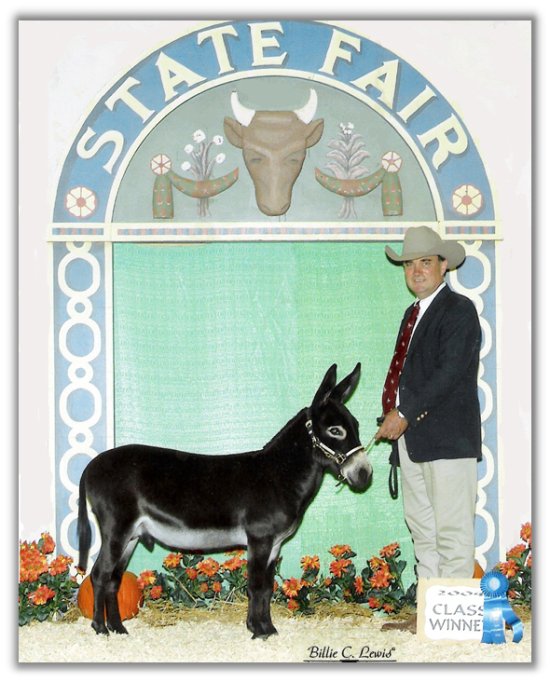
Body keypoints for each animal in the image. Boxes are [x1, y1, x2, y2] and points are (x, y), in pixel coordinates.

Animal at [77, 363, 372, 639]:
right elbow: (256, 586)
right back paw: (100, 629)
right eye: (335, 430)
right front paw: (259, 631)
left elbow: (266, 587)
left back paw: (118, 629)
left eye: (356, 426)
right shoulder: (260, 539)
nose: (364, 474)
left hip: (131, 536)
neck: (278, 475)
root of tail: (91, 466)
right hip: (117, 529)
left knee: (113, 579)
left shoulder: (274, 544)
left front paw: (266, 629)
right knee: (100, 574)